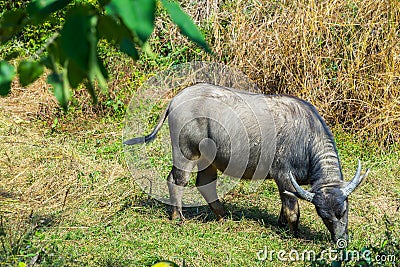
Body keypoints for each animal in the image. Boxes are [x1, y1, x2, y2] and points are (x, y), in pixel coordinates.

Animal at [124, 84, 368, 243]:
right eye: (323, 216)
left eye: (344, 211)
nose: (341, 240)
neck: (307, 139)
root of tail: (176, 99)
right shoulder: (284, 177)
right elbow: (293, 210)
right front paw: (296, 234)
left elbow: (284, 207)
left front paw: (281, 224)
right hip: (186, 152)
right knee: (177, 180)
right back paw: (178, 217)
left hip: (208, 159)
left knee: (205, 183)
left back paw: (223, 215)